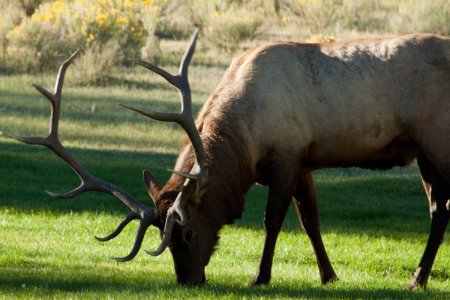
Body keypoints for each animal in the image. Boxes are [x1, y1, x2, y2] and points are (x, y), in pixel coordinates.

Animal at [5, 32, 448, 288]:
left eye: (184, 233)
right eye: (161, 238)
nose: (188, 282)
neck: (246, 144)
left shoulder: (287, 157)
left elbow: (274, 221)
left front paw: (261, 277)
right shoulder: (304, 160)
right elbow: (311, 221)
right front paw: (328, 275)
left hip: (437, 142)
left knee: (440, 209)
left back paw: (419, 277)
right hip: (426, 153)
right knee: (437, 209)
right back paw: (419, 277)